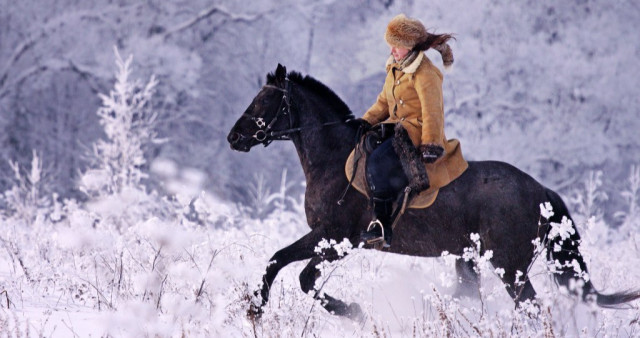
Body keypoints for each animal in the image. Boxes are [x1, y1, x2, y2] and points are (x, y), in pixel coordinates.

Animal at [228, 64, 636, 320]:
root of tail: (540, 190)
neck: (334, 158)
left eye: (263, 101)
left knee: (531, 308)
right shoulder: (324, 236)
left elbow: (302, 276)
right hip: (471, 258)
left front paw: (354, 314)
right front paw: (255, 308)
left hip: (510, 266)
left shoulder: (336, 238)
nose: (234, 138)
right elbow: (277, 261)